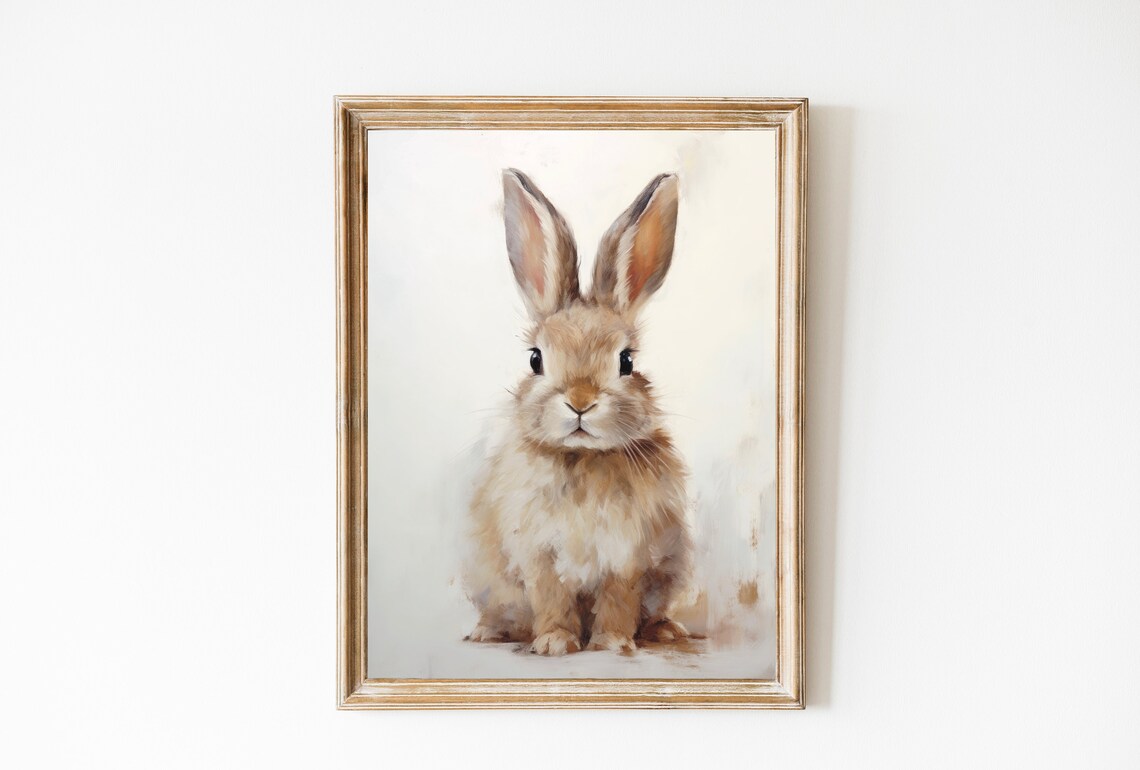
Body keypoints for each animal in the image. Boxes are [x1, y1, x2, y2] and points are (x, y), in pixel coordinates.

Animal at [463, 168, 693, 656]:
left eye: (626, 361)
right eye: (536, 359)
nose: (581, 401)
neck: (583, 458)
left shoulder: (628, 556)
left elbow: (619, 600)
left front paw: (612, 643)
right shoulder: (538, 554)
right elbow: (551, 597)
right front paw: (554, 642)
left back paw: (666, 629)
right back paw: (488, 631)